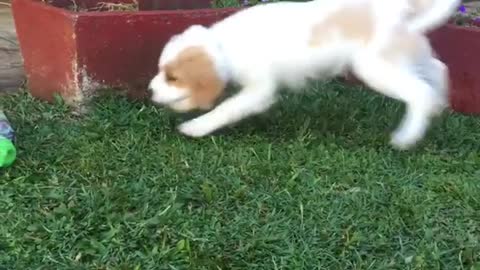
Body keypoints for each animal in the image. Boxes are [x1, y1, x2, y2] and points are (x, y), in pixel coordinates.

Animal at [148, 0, 460, 149]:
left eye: (172, 77)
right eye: (161, 71)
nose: (150, 91)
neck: (224, 44)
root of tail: (401, 12)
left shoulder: (259, 91)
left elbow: (227, 108)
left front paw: (196, 126)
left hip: (375, 67)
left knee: (419, 92)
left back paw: (407, 136)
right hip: (405, 55)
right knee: (438, 68)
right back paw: (439, 106)